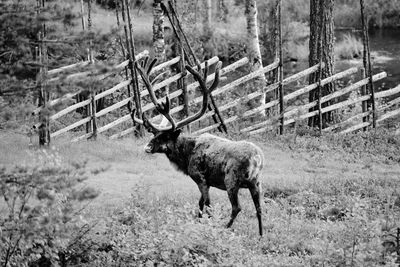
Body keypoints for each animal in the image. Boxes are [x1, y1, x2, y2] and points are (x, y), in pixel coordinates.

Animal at [131, 57, 268, 237]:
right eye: (154, 134)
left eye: (165, 136)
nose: (147, 147)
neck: (186, 155)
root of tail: (257, 158)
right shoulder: (207, 181)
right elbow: (200, 204)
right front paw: (198, 222)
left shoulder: (200, 177)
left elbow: (207, 205)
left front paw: (206, 226)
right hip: (256, 182)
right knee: (259, 208)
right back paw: (261, 235)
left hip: (231, 180)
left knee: (237, 207)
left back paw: (224, 228)